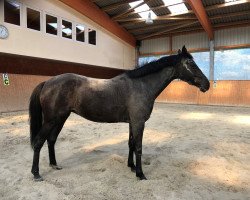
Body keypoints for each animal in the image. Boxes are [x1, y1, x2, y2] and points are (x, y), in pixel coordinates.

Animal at [28, 46, 209, 180]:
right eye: (191, 64)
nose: (207, 84)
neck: (141, 85)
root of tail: (48, 82)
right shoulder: (138, 122)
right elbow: (139, 147)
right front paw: (140, 174)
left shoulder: (132, 122)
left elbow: (131, 144)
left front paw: (131, 166)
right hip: (51, 120)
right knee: (38, 142)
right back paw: (36, 174)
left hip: (61, 118)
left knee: (51, 140)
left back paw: (54, 165)